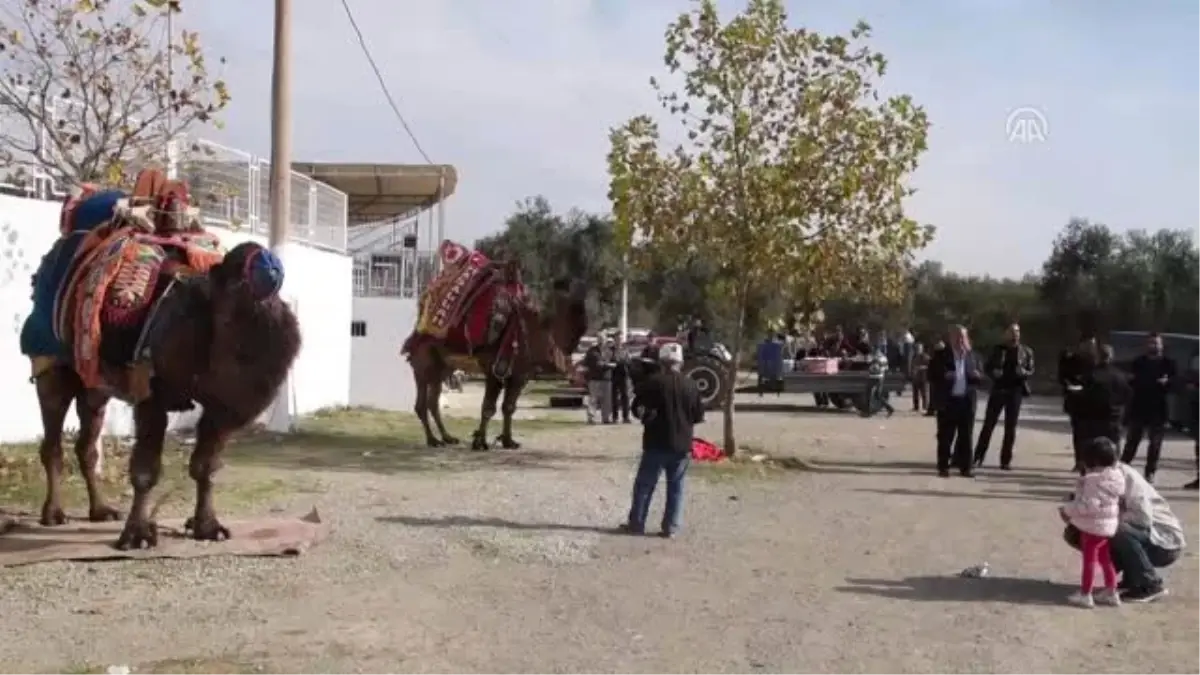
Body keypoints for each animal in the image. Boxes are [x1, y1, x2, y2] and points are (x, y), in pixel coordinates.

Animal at [405, 276, 588, 449]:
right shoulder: (495, 371)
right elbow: (488, 408)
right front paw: (479, 442)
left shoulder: (520, 376)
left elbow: (509, 407)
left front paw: (508, 441)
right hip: (424, 361)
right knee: (422, 403)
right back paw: (433, 440)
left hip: (443, 367)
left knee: (433, 402)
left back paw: (448, 438)